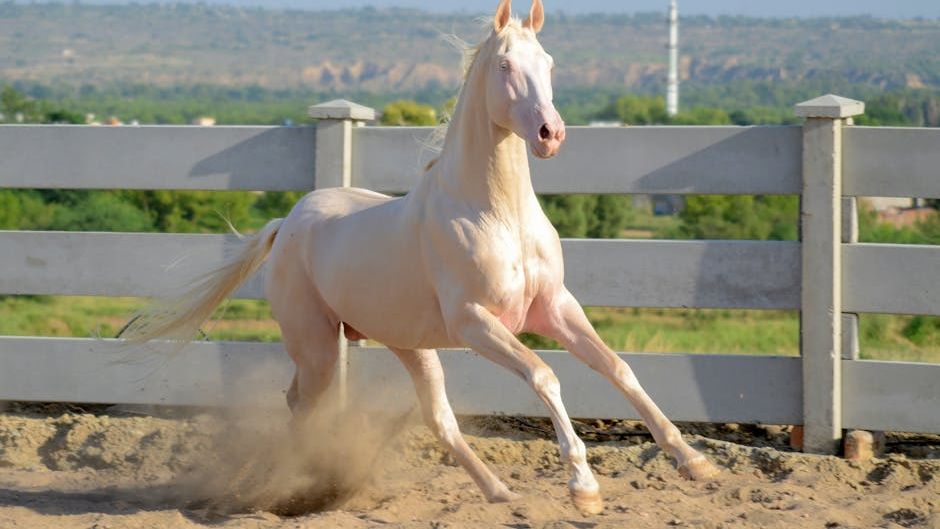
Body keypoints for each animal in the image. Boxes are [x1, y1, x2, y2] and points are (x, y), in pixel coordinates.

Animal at [123, 0, 719, 513]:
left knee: (438, 420)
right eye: (505, 64)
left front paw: (693, 461)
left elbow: (617, 368)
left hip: (409, 347)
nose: (551, 134)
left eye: (549, 62)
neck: (496, 214)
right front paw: (584, 487)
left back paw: (499, 491)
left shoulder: (553, 307)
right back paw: (293, 485)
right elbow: (545, 375)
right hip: (317, 346)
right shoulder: (477, 323)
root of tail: (286, 223)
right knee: (302, 403)